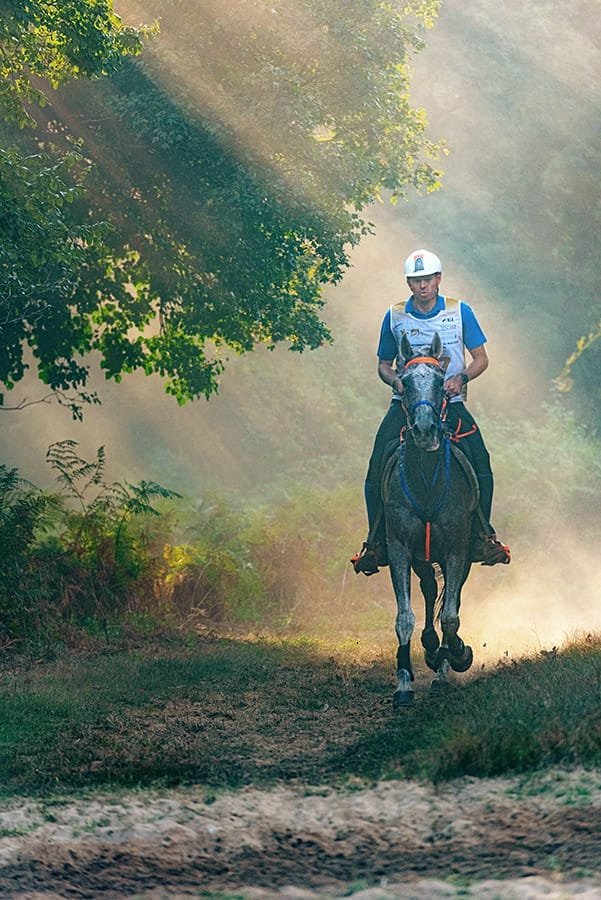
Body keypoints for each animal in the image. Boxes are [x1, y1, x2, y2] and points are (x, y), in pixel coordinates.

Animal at [382, 332, 479, 707]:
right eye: (406, 382)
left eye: (440, 382)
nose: (424, 430)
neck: (426, 477)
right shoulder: (399, 549)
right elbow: (404, 618)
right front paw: (404, 684)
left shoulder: (456, 549)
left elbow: (450, 616)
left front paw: (457, 656)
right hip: (423, 558)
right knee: (429, 589)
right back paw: (430, 647)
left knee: (450, 598)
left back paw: (443, 664)